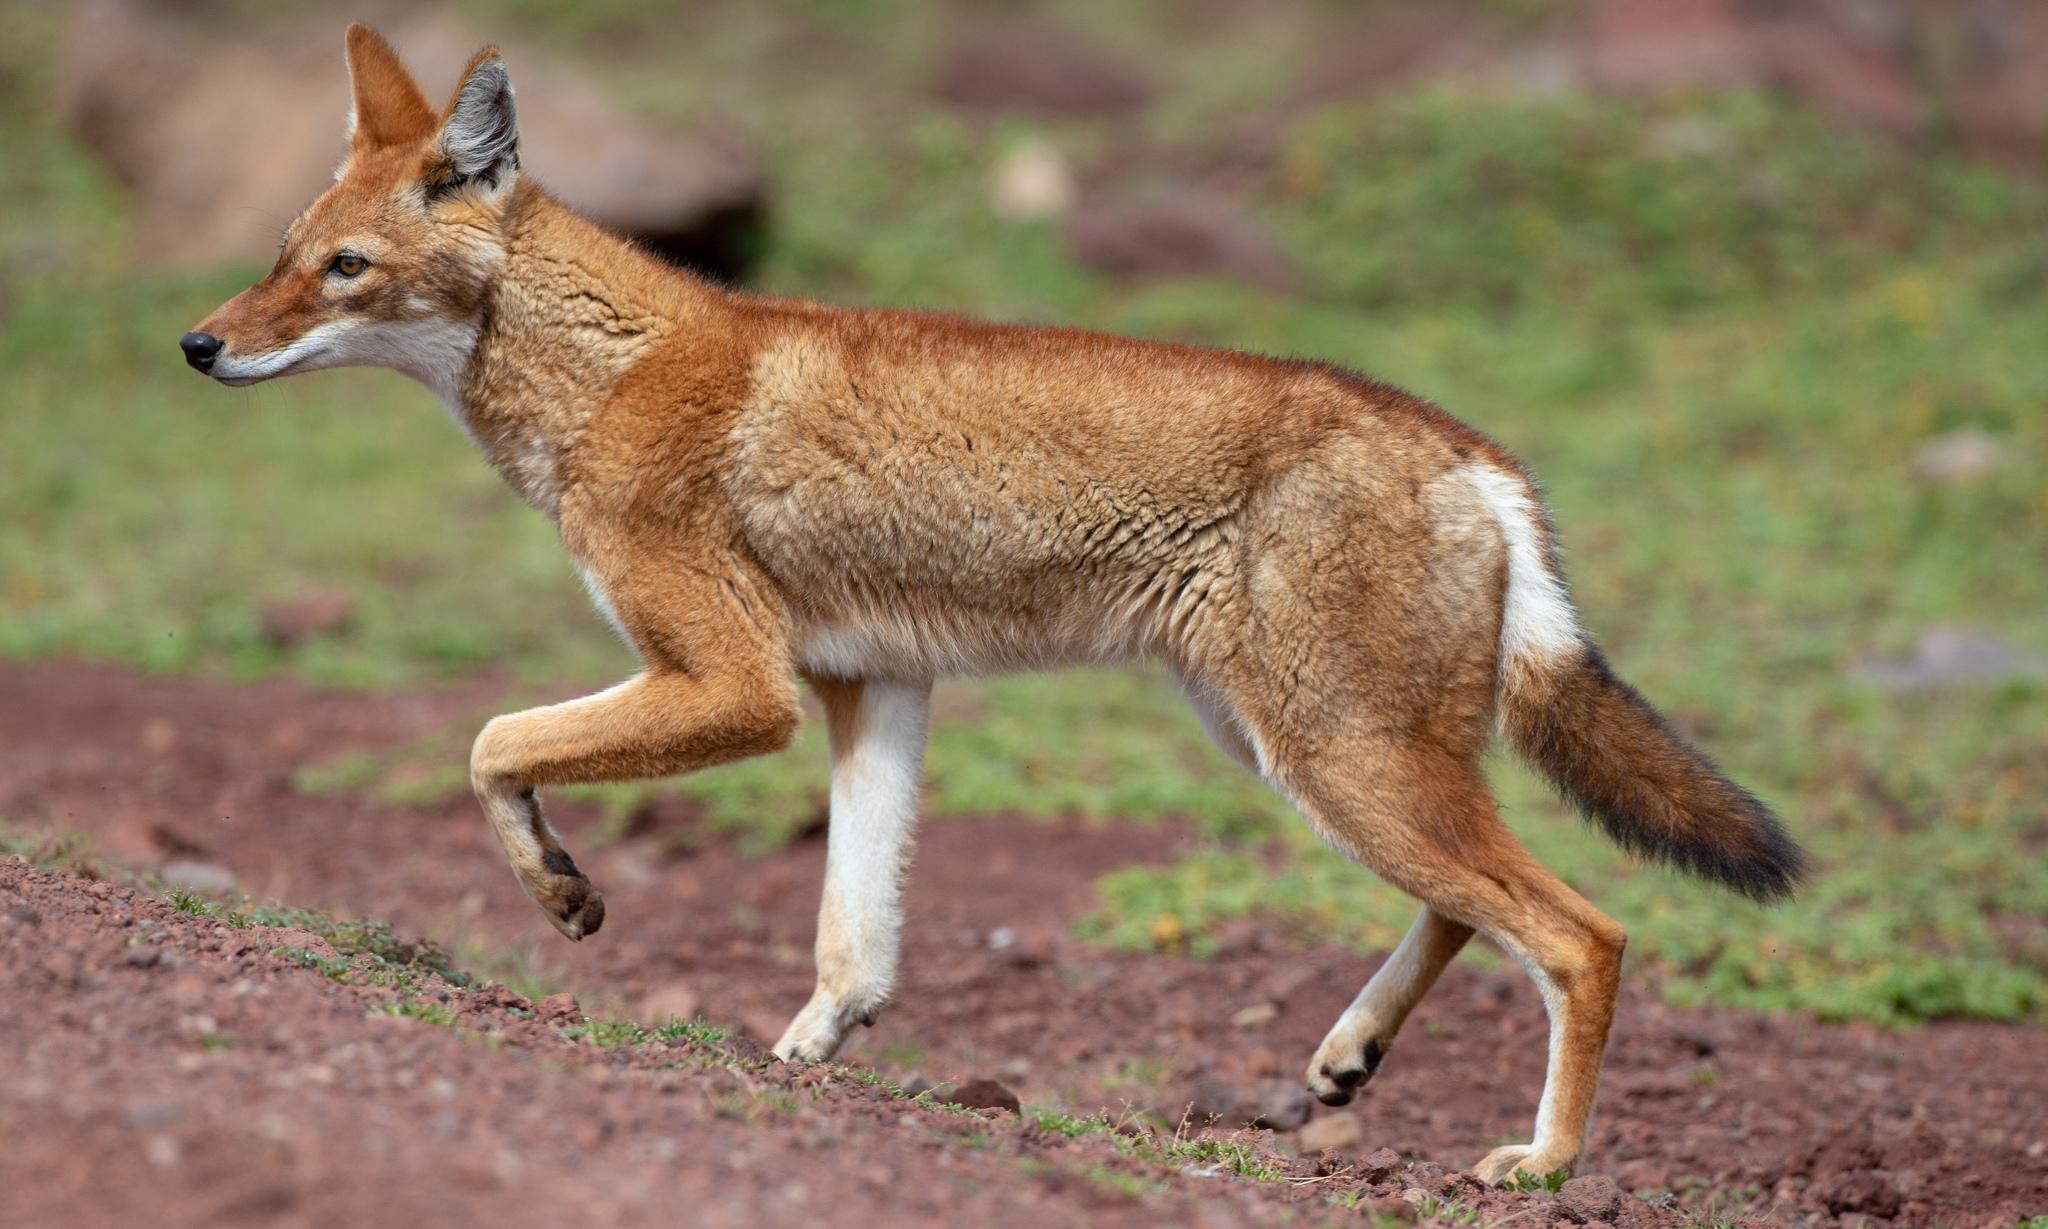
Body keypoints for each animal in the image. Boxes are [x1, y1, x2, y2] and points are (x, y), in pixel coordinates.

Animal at [182, 25, 1804, 1182]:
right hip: (1303, 756)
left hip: (1337, 765)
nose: (198, 345)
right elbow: (854, 946)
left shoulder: (739, 689)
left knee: (1582, 933)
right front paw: (795, 1062)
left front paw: (566, 891)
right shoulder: (870, 690)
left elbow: (488, 745)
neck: (613, 375)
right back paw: (1347, 1060)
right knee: (1476, 911)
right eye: (281, 254)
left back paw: (1541, 1162)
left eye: (344, 269)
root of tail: (1475, 452)